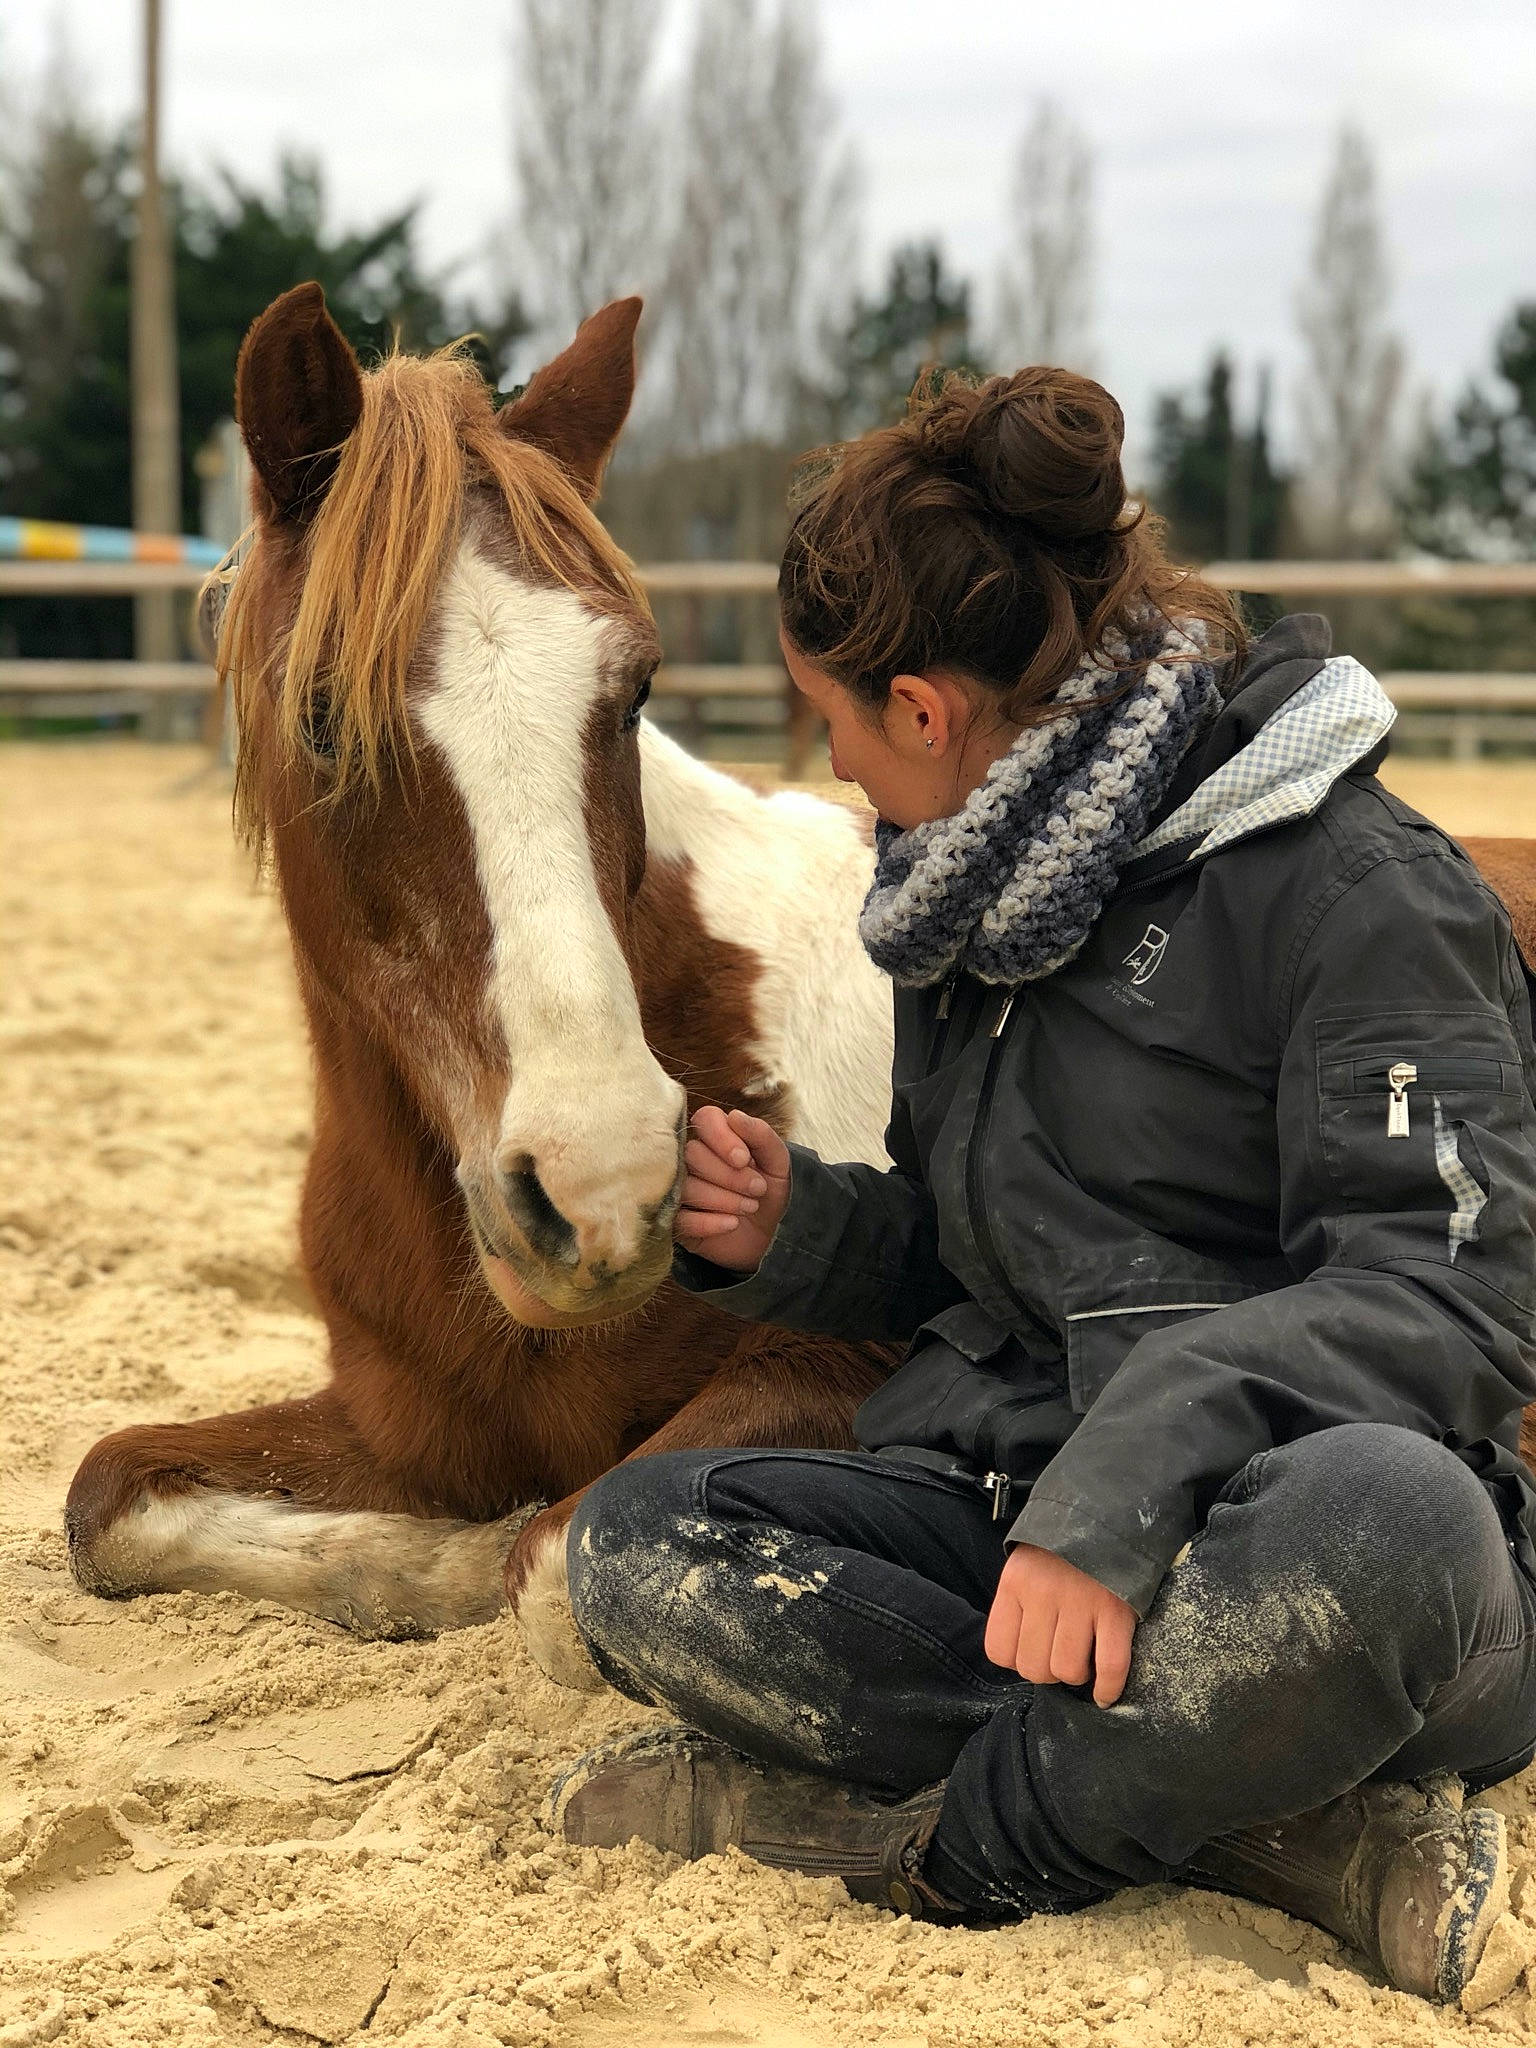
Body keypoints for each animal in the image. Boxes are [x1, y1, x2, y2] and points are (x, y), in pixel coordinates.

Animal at [63, 284, 897, 1687]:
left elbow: (554, 1563)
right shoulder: (403, 1421)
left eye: (637, 688)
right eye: (324, 714)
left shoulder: (860, 1372)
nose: (604, 1187)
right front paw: (426, 1561)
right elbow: (106, 1495)